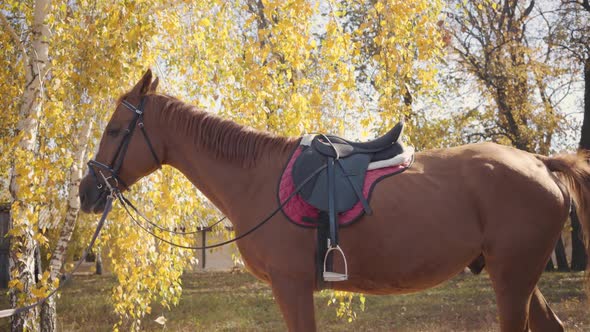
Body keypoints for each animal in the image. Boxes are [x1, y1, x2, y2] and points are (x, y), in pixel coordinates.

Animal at [80, 69, 590, 330]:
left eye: (115, 130)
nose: (88, 191)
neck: (255, 178)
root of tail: (541, 162)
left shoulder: (291, 286)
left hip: (513, 276)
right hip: (519, 275)